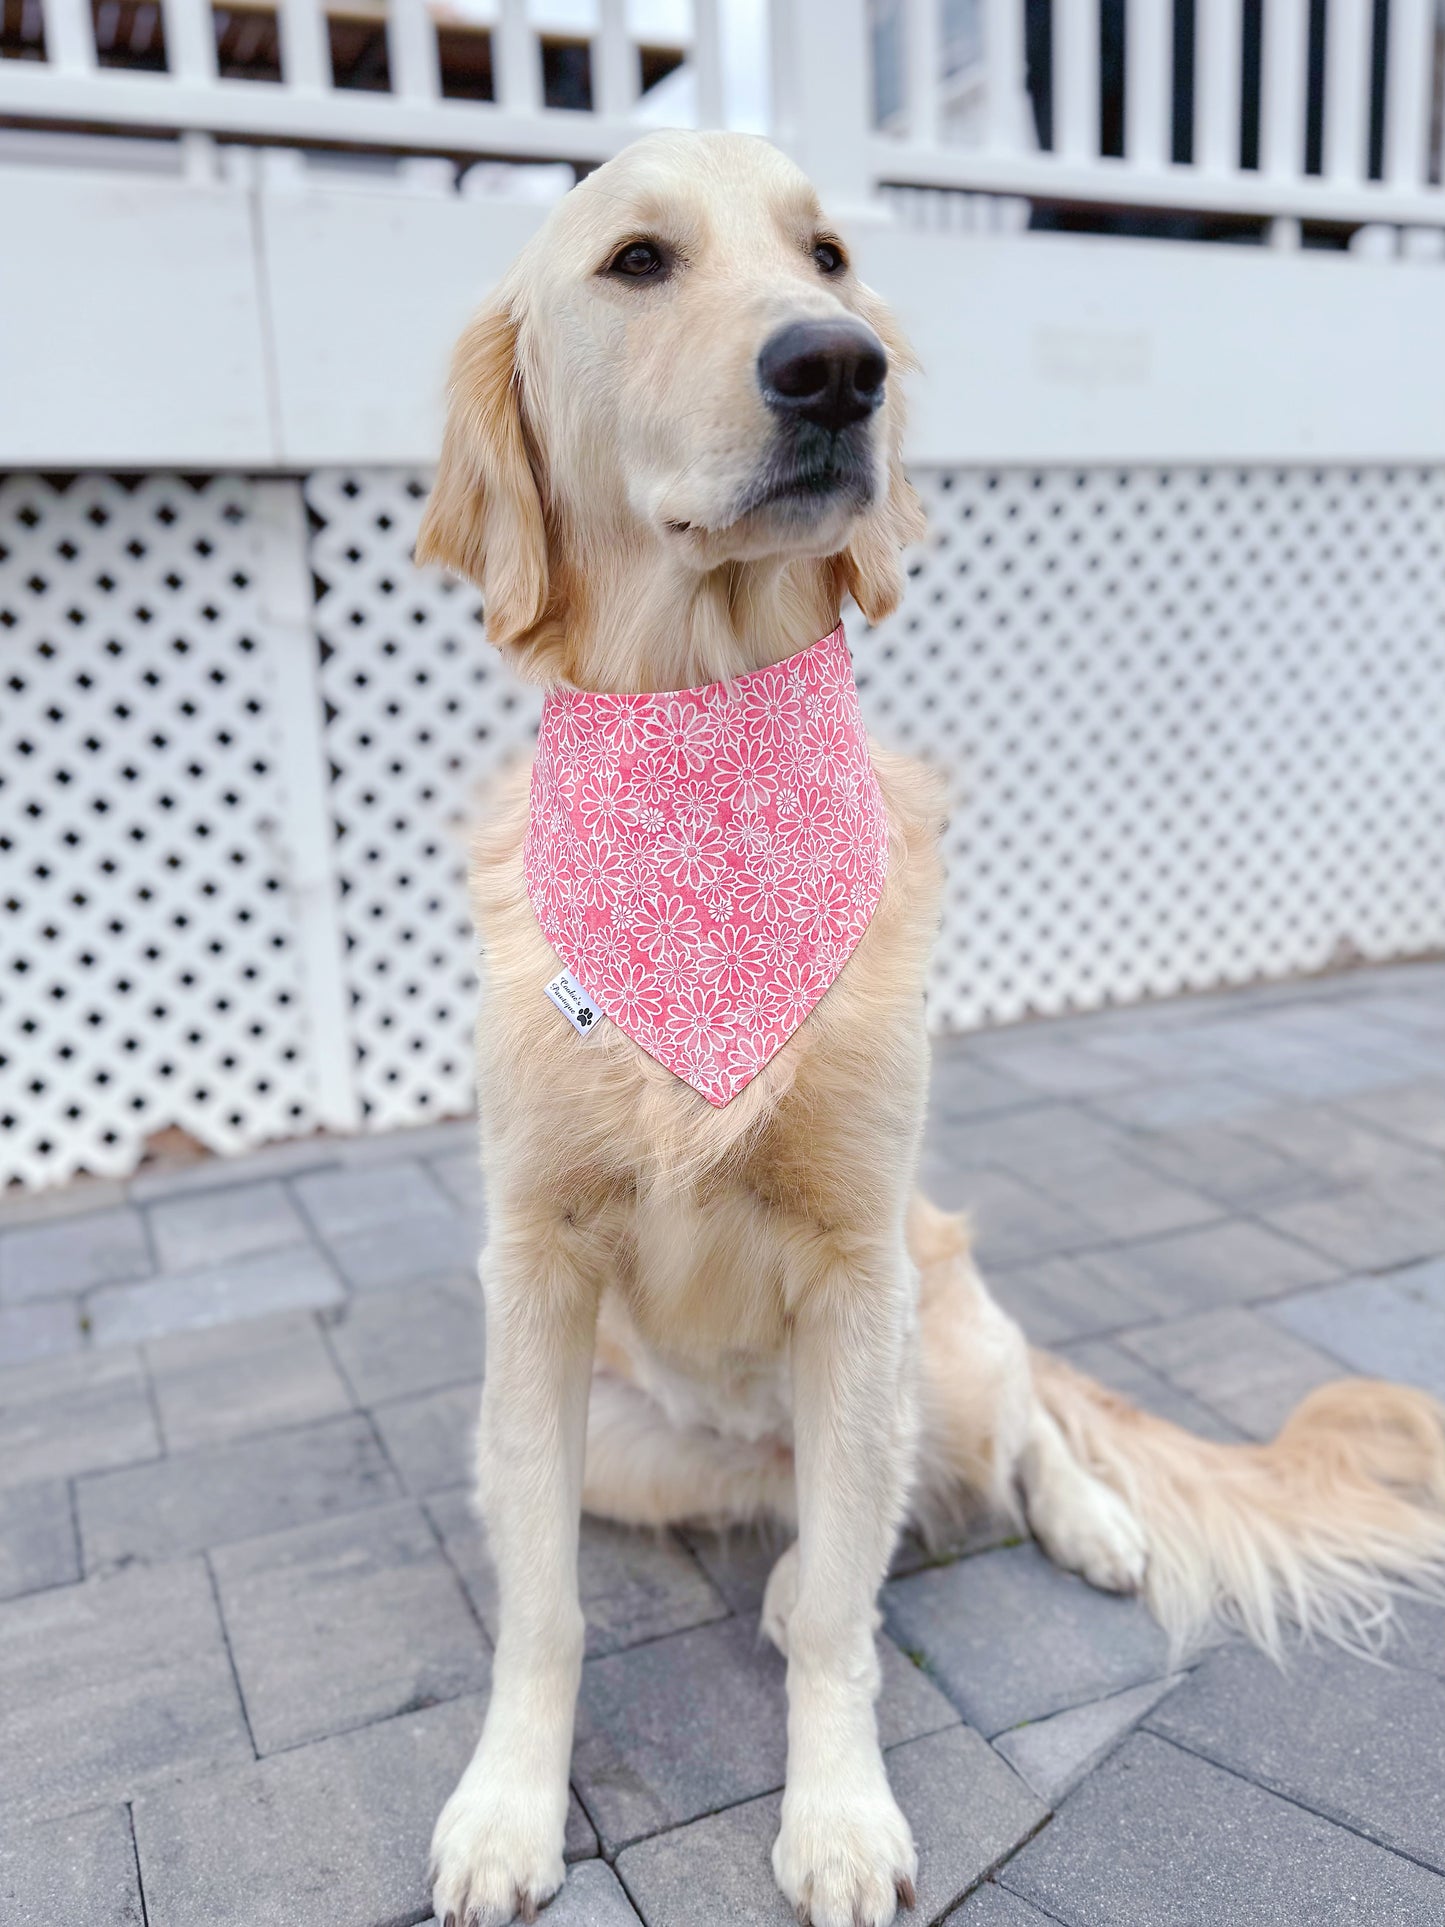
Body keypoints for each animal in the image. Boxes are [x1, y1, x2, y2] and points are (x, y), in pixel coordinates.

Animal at [416, 128, 1445, 1919]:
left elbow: (845, 1613)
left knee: (1004, 1431)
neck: (711, 758)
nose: (838, 368)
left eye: (828, 256)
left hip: (931, 1327)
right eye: (635, 261)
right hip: (643, 1434)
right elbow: (546, 1604)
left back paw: (1090, 1523)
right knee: (831, 1510)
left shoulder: (856, 1262)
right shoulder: (533, 1275)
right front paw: (506, 1807)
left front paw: (836, 1813)